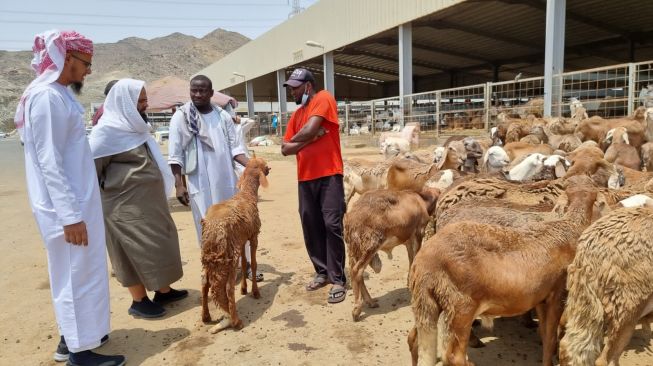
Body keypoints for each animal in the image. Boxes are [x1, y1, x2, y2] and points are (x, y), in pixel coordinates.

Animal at [200, 157, 268, 334]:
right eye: (264, 165)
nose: (269, 168)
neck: (247, 195)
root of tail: (214, 229)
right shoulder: (253, 236)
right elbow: (254, 263)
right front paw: (255, 292)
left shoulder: (241, 239)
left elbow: (245, 264)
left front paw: (244, 289)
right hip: (229, 258)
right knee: (228, 288)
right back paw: (236, 321)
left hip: (208, 255)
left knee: (204, 284)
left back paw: (206, 317)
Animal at [342, 187, 438, 322]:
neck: (420, 200)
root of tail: (352, 218)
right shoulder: (418, 233)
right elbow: (415, 258)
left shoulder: (408, 240)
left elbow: (411, 260)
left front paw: (409, 284)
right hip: (371, 245)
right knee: (357, 270)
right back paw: (357, 310)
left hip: (355, 249)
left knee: (354, 271)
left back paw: (370, 302)